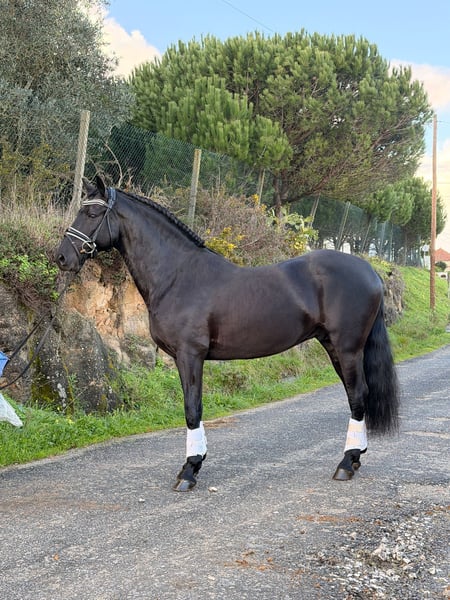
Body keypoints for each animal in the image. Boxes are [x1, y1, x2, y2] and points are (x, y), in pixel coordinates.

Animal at [55, 176, 399, 491]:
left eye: (92, 213)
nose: (61, 257)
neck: (178, 275)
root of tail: (370, 271)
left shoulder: (190, 355)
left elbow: (192, 409)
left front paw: (189, 470)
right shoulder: (184, 358)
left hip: (347, 348)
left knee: (358, 395)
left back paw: (346, 464)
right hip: (332, 346)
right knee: (355, 396)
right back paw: (354, 458)